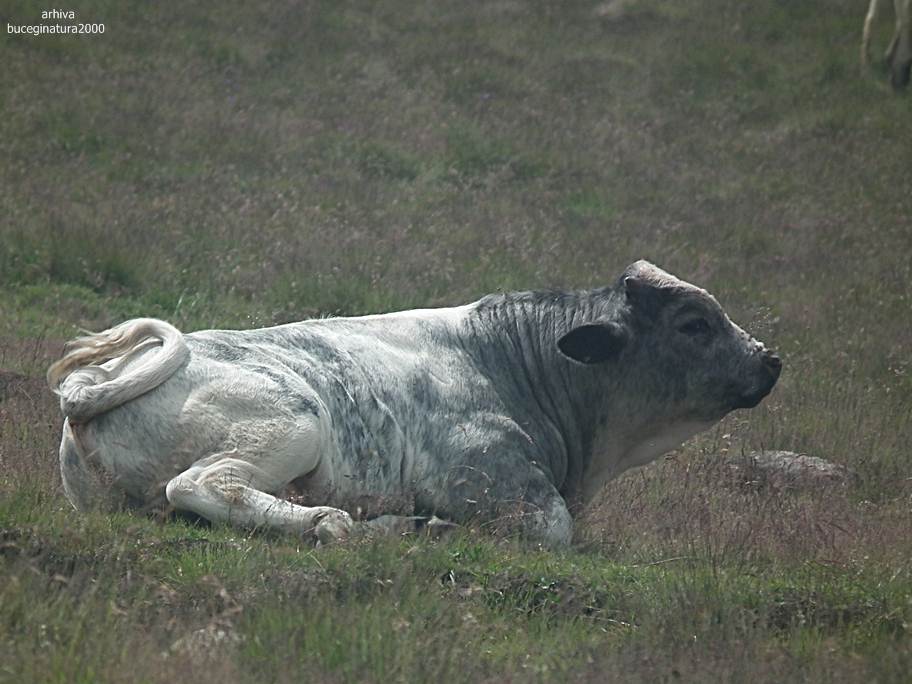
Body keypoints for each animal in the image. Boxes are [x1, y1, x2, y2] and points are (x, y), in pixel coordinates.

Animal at [47, 261, 781, 548]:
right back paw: (337, 523)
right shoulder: (495, 480)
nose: (771, 359)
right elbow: (553, 529)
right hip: (294, 420)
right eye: (694, 324)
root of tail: (89, 392)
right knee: (202, 485)